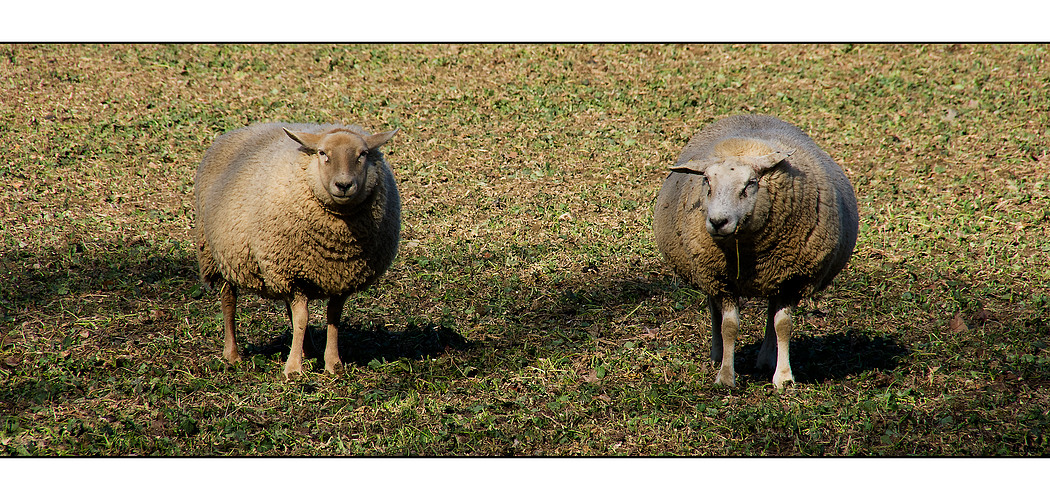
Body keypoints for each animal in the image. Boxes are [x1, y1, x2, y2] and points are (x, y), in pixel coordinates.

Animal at [192, 121, 396, 378]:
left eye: (363, 154)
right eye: (322, 153)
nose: (344, 185)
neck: (336, 243)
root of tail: (239, 131)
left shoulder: (340, 278)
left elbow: (332, 318)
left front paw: (333, 364)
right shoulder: (292, 274)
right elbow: (301, 319)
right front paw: (293, 369)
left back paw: (308, 350)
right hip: (220, 256)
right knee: (229, 301)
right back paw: (232, 354)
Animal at [651, 115, 856, 388]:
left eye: (750, 184)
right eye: (706, 182)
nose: (718, 222)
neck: (747, 252)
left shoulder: (791, 279)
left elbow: (783, 326)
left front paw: (784, 378)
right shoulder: (721, 279)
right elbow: (728, 326)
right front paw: (726, 376)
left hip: (775, 278)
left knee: (771, 315)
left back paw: (767, 360)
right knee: (714, 310)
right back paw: (717, 355)